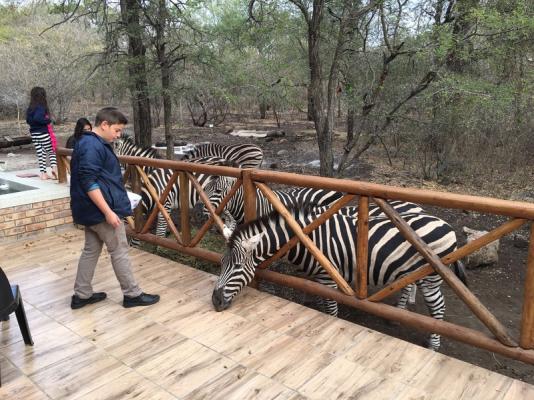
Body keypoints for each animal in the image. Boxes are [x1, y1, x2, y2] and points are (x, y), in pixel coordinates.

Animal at [211, 206, 466, 350]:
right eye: (222, 263)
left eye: (236, 266)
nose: (215, 301)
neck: (306, 239)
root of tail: (446, 224)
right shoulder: (318, 277)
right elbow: (321, 301)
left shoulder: (328, 276)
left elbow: (331, 310)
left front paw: (330, 326)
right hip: (411, 270)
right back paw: (397, 314)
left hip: (432, 277)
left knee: (438, 307)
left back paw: (433, 345)